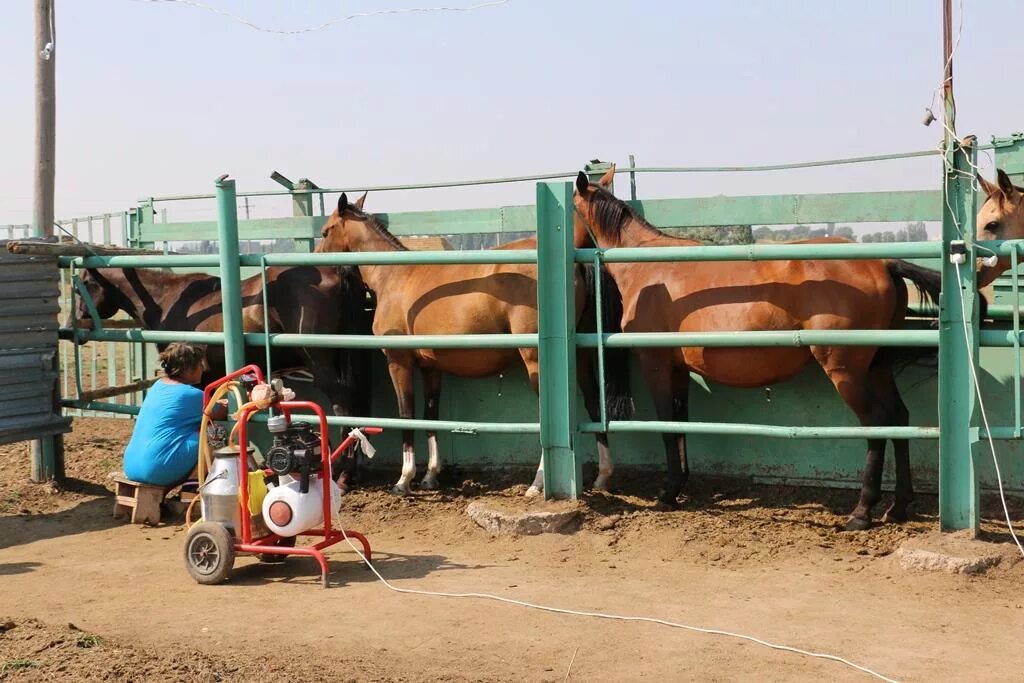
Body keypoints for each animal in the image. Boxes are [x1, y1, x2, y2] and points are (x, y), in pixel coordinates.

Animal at [73, 266, 376, 485]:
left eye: (83, 285)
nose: (75, 325)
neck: (171, 301)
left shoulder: (200, 380)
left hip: (322, 365)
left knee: (343, 404)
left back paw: (343, 471)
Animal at [315, 192, 630, 497]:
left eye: (325, 231)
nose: (316, 263)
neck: (395, 276)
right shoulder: (431, 368)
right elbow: (431, 416)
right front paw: (430, 476)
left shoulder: (399, 363)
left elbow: (407, 416)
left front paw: (404, 480)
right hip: (583, 357)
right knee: (593, 403)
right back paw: (603, 475)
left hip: (536, 363)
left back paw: (538, 483)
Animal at [573, 167, 946, 532]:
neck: (650, 267)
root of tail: (882, 263)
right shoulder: (679, 370)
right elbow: (681, 424)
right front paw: (677, 487)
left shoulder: (656, 365)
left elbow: (667, 424)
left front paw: (667, 493)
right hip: (877, 366)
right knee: (898, 419)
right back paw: (898, 507)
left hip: (846, 371)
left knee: (876, 423)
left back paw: (862, 511)